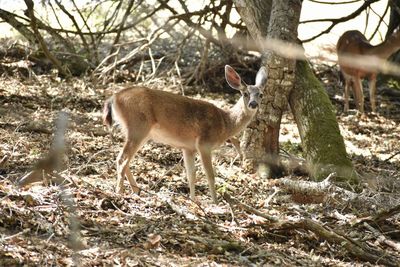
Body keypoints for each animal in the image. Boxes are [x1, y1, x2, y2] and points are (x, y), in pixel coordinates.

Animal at [101, 65, 268, 203]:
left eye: (261, 94)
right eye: (245, 93)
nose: (253, 104)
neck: (225, 123)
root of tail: (114, 98)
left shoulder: (188, 148)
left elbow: (191, 175)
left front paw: (193, 200)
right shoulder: (204, 143)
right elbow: (210, 175)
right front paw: (215, 202)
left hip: (137, 131)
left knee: (125, 158)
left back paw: (136, 190)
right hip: (138, 126)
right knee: (122, 158)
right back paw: (119, 191)